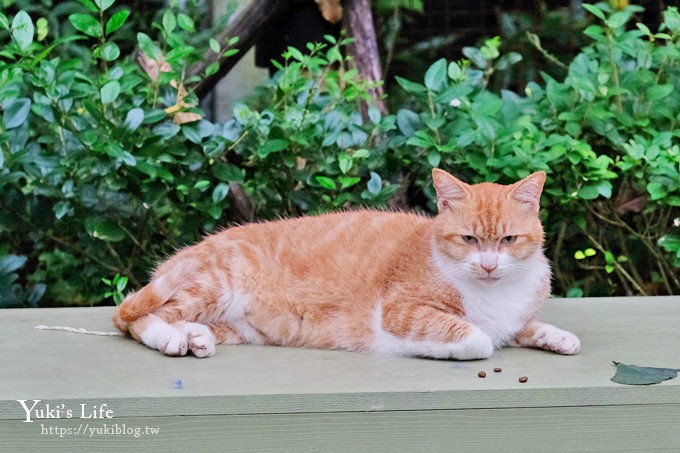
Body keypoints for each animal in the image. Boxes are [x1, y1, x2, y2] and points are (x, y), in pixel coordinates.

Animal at [111, 168, 580, 358]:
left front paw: (558, 337)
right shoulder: (401, 312)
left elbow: (524, 328)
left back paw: (196, 337)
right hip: (211, 285)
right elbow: (475, 338)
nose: (488, 265)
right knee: (137, 318)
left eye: (507, 240)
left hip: (242, 327)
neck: (492, 292)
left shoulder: (513, 319)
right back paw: (171, 339)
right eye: (468, 239)